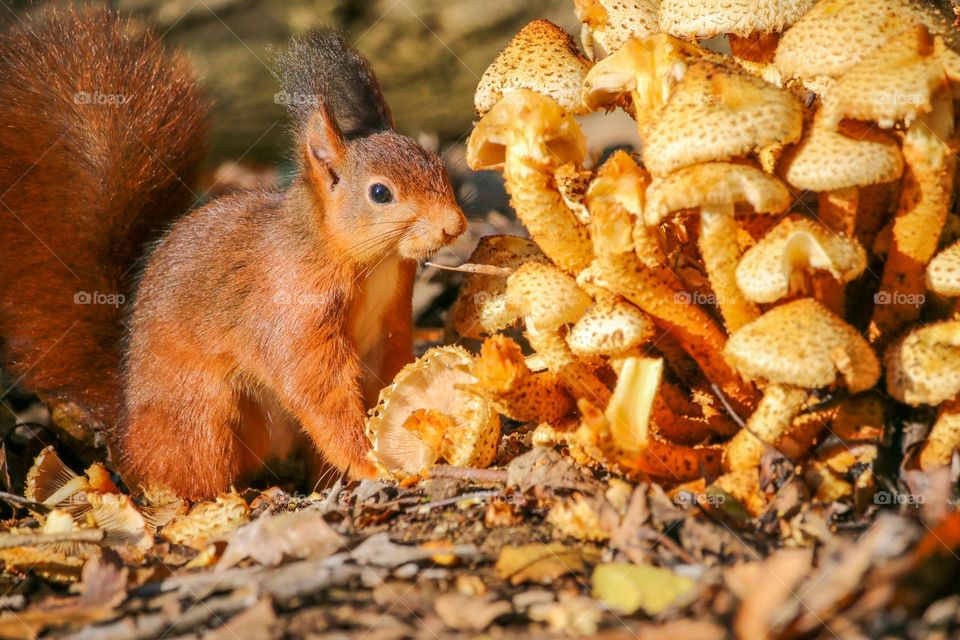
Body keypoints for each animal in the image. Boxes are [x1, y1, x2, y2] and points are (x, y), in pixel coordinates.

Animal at [0, 10, 464, 500]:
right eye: (379, 193)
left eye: (436, 162)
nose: (454, 225)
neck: (368, 261)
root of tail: (124, 434)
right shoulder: (293, 312)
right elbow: (318, 392)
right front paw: (370, 461)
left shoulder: (389, 323)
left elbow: (387, 375)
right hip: (207, 415)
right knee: (190, 475)